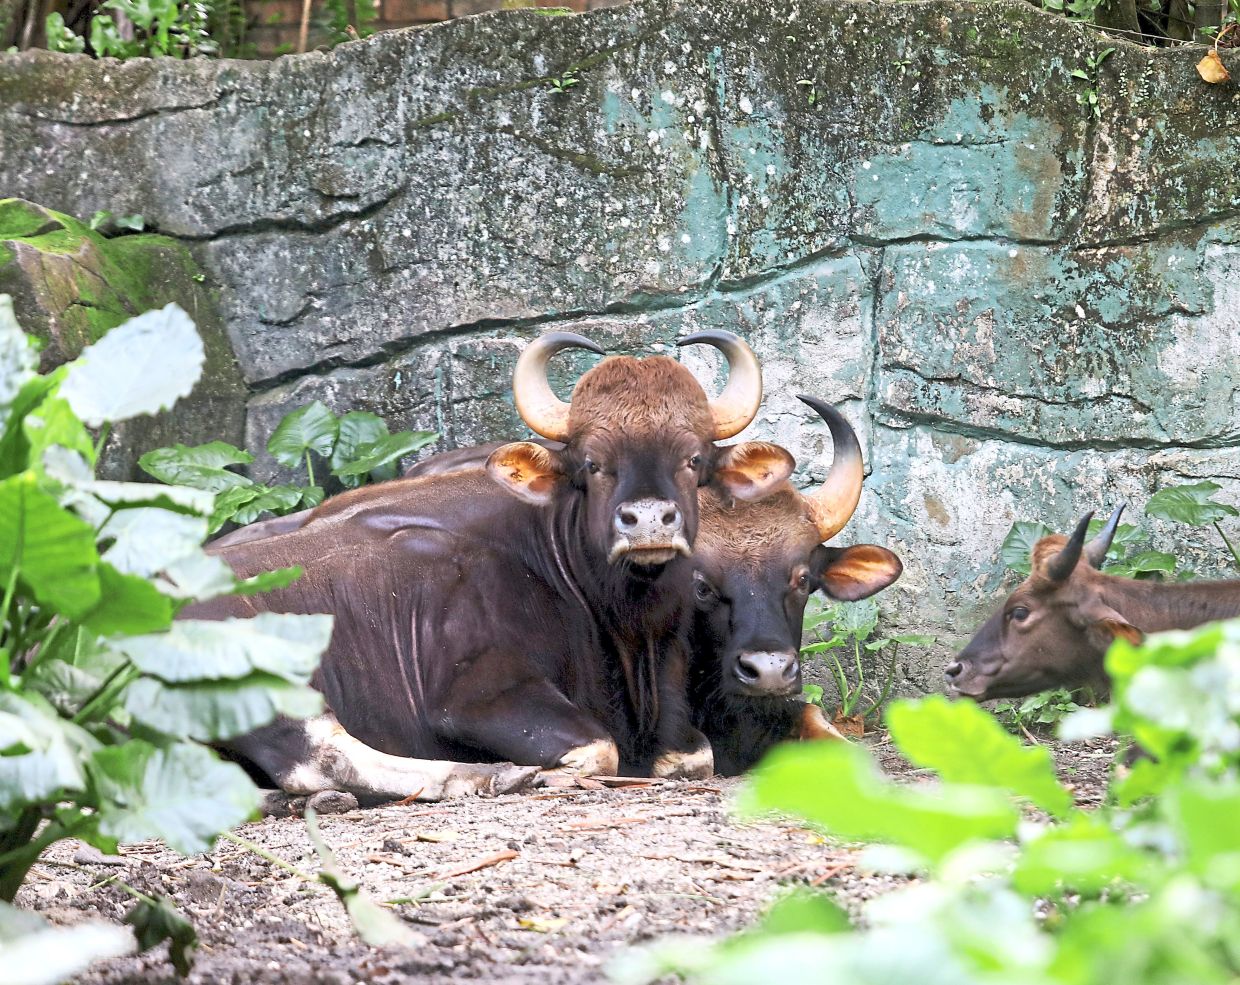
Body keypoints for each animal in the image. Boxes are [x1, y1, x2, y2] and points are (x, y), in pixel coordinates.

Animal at [196, 330, 797, 802]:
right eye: (592, 463)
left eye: (693, 459)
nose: (648, 520)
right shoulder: (478, 697)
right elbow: (598, 746)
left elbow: (695, 759)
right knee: (320, 757)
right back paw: (495, 776)